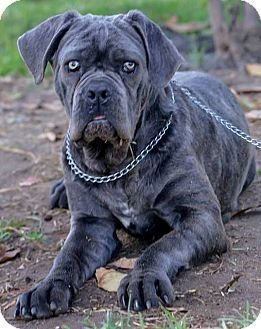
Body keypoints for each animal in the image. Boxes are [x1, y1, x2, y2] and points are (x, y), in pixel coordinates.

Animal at [14, 9, 254, 318]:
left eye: (129, 65)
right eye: (73, 65)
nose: (98, 90)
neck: (118, 162)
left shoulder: (201, 217)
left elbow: (163, 246)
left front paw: (143, 279)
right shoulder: (90, 225)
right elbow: (66, 258)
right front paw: (45, 288)